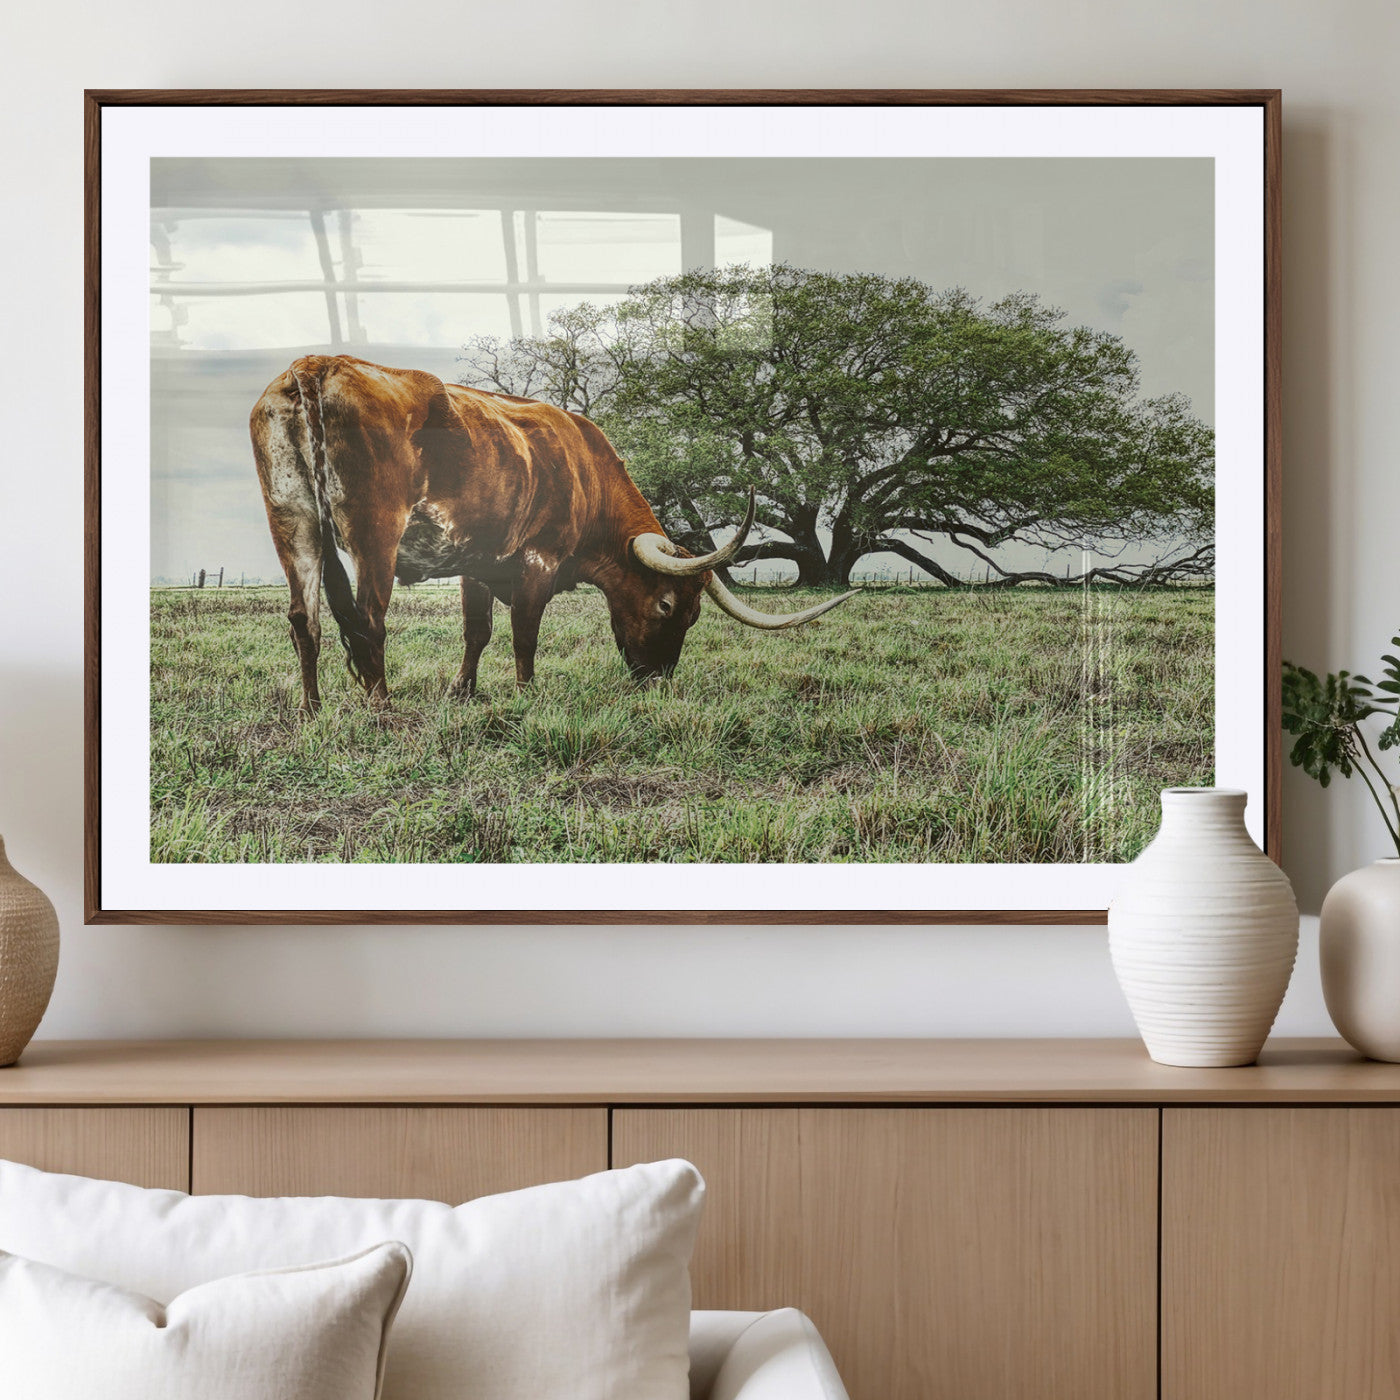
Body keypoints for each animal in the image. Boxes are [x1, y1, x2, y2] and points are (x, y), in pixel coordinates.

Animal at [250, 354, 856, 712]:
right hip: (376, 532)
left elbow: (477, 632)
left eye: (694, 616)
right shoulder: (538, 559)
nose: (657, 680)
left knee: (305, 619)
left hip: (293, 524)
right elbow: (524, 633)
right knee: (369, 618)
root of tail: (316, 365)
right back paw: (381, 708)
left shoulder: (476, 561)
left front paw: (463, 692)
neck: (586, 469)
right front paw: (526, 695)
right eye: (667, 605)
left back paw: (311, 709)